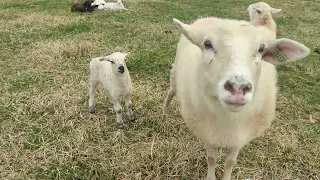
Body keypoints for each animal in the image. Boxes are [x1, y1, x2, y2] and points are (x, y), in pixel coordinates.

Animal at [170, 17, 310, 180]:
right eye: (207, 44)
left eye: (261, 49)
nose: (238, 87)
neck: (228, 118)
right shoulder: (207, 133)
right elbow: (211, 158)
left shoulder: (239, 137)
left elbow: (230, 162)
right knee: (171, 91)